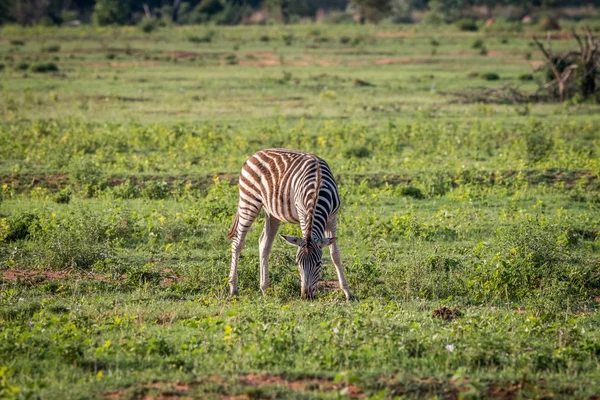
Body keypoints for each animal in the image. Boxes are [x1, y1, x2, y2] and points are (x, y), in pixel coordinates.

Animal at [227, 149, 354, 300]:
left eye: (319, 263)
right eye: (297, 263)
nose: (306, 296)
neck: (317, 187)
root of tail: (256, 153)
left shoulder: (332, 217)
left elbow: (335, 254)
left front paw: (347, 292)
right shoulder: (302, 211)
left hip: (272, 212)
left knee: (264, 243)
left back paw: (265, 288)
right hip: (249, 201)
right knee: (237, 243)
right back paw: (233, 288)